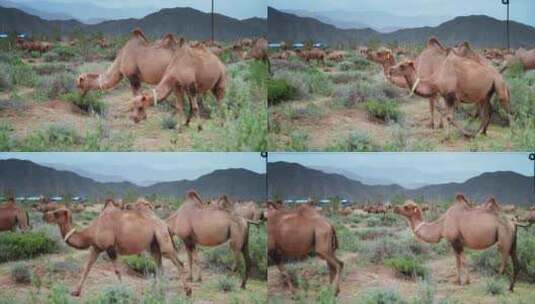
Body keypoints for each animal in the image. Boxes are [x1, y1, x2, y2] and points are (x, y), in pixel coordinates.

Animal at [43, 202, 184, 296]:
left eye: (56, 213)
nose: (44, 216)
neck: (92, 231)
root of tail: (165, 224)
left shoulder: (110, 247)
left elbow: (117, 271)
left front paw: (122, 291)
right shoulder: (96, 247)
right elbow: (87, 267)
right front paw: (75, 291)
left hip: (162, 237)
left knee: (178, 263)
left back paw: (185, 291)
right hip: (153, 244)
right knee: (159, 265)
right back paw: (157, 290)